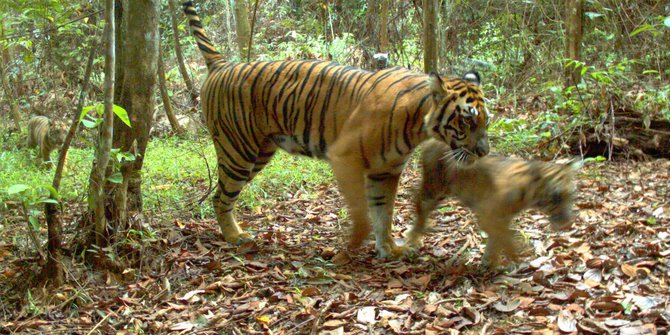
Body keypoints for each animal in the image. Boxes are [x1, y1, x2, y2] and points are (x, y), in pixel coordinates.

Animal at [184, 1, 494, 258]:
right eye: (467, 121)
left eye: (486, 121)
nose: (484, 152)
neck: (418, 123)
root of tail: (222, 65)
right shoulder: (347, 158)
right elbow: (362, 211)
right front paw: (354, 245)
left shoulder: (386, 171)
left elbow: (384, 211)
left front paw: (389, 249)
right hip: (238, 152)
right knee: (220, 197)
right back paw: (234, 236)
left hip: (258, 153)